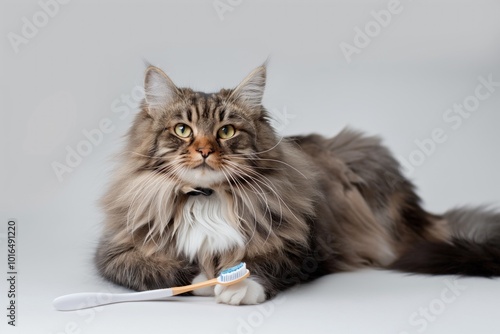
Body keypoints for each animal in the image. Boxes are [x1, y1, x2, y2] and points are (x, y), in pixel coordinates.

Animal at [94, 64, 500, 304]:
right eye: (182, 130)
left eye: (226, 131)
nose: (206, 150)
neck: (206, 196)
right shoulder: (114, 252)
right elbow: (156, 269)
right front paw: (204, 277)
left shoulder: (303, 247)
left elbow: (261, 265)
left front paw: (235, 285)